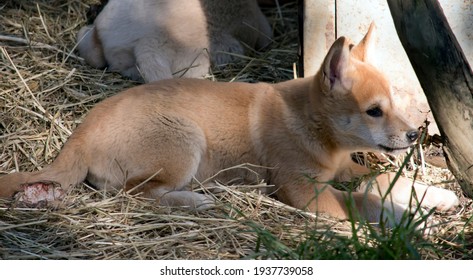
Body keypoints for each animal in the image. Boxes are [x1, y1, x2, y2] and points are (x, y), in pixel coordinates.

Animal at [0, 23, 458, 225]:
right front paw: (407, 221)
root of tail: (78, 136)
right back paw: (194, 201)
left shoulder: (346, 169)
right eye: (373, 111)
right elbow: (362, 202)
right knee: (134, 194)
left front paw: (434, 196)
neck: (312, 125)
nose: (414, 134)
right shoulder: (307, 193)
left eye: (392, 103)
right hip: (184, 140)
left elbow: (383, 181)